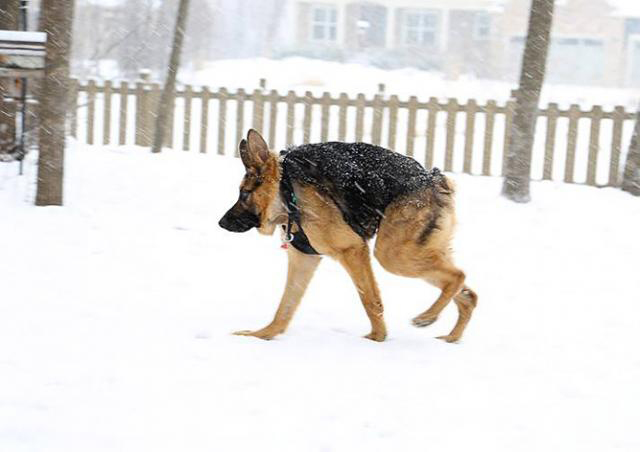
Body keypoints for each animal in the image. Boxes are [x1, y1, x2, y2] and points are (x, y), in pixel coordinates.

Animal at [219, 129, 476, 340]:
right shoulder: (304, 259)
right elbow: (285, 307)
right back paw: (450, 337)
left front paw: (377, 338)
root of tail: (433, 177)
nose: (221, 223)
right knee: (468, 295)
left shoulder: (352, 250)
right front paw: (262, 335)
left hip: (393, 255)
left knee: (458, 276)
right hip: (416, 252)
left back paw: (427, 317)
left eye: (244, 194)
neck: (286, 190)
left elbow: (370, 299)